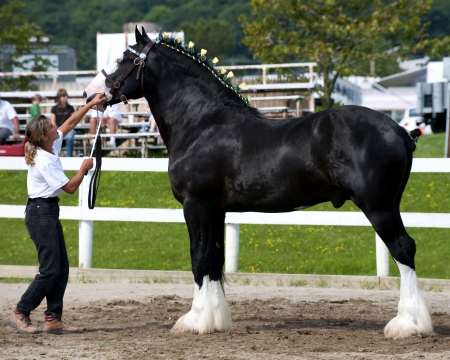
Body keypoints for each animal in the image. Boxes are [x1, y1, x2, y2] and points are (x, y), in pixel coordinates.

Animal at [84, 27, 432, 338]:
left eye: (124, 58)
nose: (90, 95)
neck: (202, 123)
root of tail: (399, 130)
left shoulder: (196, 206)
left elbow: (198, 259)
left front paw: (194, 320)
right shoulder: (216, 210)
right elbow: (214, 260)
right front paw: (216, 320)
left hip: (378, 206)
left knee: (403, 249)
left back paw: (407, 325)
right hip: (390, 205)